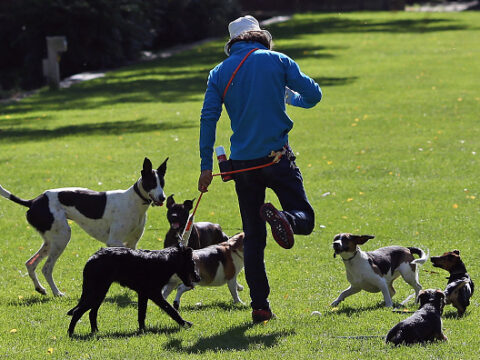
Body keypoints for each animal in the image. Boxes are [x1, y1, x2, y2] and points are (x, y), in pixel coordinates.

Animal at [0, 158, 167, 296]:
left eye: (162, 183)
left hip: (50, 241)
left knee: (30, 264)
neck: (134, 201)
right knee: (46, 268)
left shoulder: (132, 243)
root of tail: (33, 201)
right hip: (62, 237)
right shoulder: (114, 241)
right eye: (151, 183)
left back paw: (40, 288)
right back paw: (57, 293)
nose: (163, 198)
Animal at [67, 246, 199, 336]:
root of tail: (92, 258)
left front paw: (142, 331)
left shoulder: (143, 294)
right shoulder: (154, 294)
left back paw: (95, 332)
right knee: (78, 311)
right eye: (192, 263)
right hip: (98, 292)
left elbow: (141, 314)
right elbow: (172, 310)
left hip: (99, 293)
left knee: (91, 313)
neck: (166, 261)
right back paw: (71, 333)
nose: (198, 278)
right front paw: (184, 323)